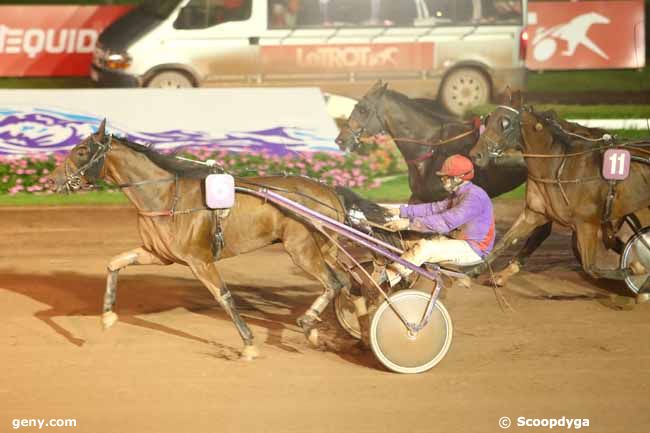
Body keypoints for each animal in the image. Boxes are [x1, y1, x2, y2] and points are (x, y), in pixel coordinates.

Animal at [49, 120, 354, 360]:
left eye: (81, 150)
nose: (51, 181)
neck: (166, 195)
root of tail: (329, 191)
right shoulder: (158, 254)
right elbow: (114, 264)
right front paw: (107, 317)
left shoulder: (200, 260)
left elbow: (224, 296)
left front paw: (248, 345)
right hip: (324, 249)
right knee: (345, 281)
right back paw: (322, 325)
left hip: (301, 249)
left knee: (333, 283)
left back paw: (308, 322)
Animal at [466, 90, 648, 288]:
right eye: (488, 119)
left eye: (505, 123)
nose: (475, 154)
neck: (558, 165)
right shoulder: (535, 213)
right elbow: (504, 242)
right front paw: (472, 274)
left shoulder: (587, 224)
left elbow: (592, 268)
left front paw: (638, 268)